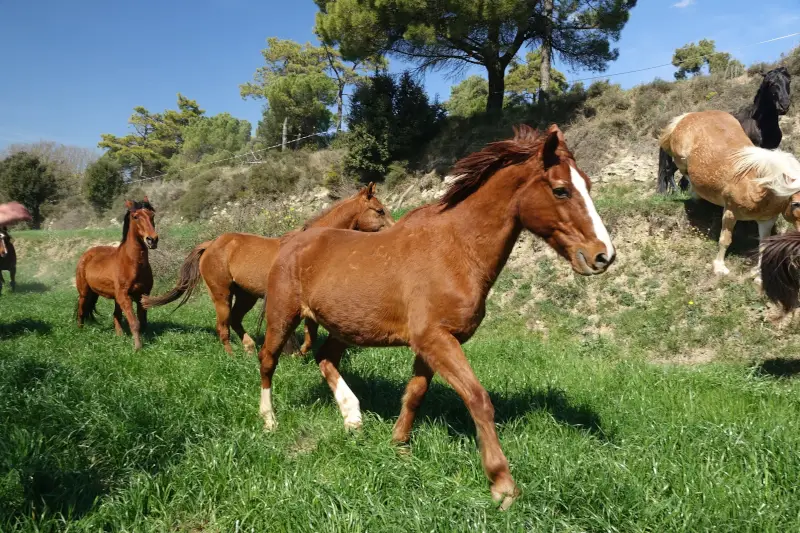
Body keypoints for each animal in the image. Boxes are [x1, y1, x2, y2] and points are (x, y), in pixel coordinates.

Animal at [75, 199, 159, 350]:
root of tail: (86, 254)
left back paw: (119, 337)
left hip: (114, 297)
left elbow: (142, 321)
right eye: (135, 216)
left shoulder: (142, 295)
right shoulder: (124, 296)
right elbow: (135, 323)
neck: (132, 263)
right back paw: (80, 330)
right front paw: (138, 347)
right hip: (84, 293)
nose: (152, 240)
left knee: (116, 315)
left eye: (152, 215)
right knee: (81, 310)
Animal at [141, 183, 394, 355]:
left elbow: (310, 336)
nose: (394, 231)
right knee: (223, 326)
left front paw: (297, 353)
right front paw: (292, 353)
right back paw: (232, 356)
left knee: (235, 320)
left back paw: (249, 347)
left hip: (246, 295)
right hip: (222, 294)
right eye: (379, 210)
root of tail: (211, 244)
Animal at [255, 124, 615, 510]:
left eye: (588, 185)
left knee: (325, 357)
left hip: (343, 327)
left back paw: (352, 417)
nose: (603, 255)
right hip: (283, 317)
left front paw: (398, 446)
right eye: (561, 189)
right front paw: (502, 485)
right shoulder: (436, 339)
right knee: (267, 361)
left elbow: (415, 393)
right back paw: (269, 421)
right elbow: (478, 399)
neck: (456, 249)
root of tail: (292, 240)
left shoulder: (432, 343)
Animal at [658, 110, 800, 278]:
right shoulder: (730, 213)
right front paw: (720, 267)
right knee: (681, 173)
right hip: (681, 159)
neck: (757, 184)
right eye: (796, 204)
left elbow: (764, 244)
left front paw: (758, 273)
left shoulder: (767, 220)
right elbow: (725, 239)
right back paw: (695, 195)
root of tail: (689, 115)